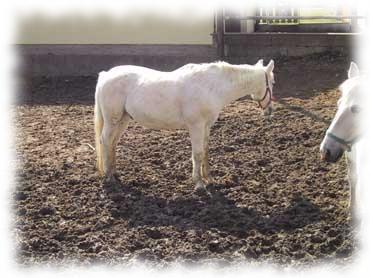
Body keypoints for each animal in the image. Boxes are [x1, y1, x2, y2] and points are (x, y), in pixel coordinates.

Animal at [95, 59, 274, 191]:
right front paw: (199, 184)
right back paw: (109, 176)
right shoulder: (196, 126)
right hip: (112, 120)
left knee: (113, 143)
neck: (212, 86)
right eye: (272, 82)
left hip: (123, 119)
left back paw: (114, 172)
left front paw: (208, 178)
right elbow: (198, 154)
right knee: (105, 141)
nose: (270, 110)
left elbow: (205, 151)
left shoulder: (206, 126)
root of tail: (106, 75)